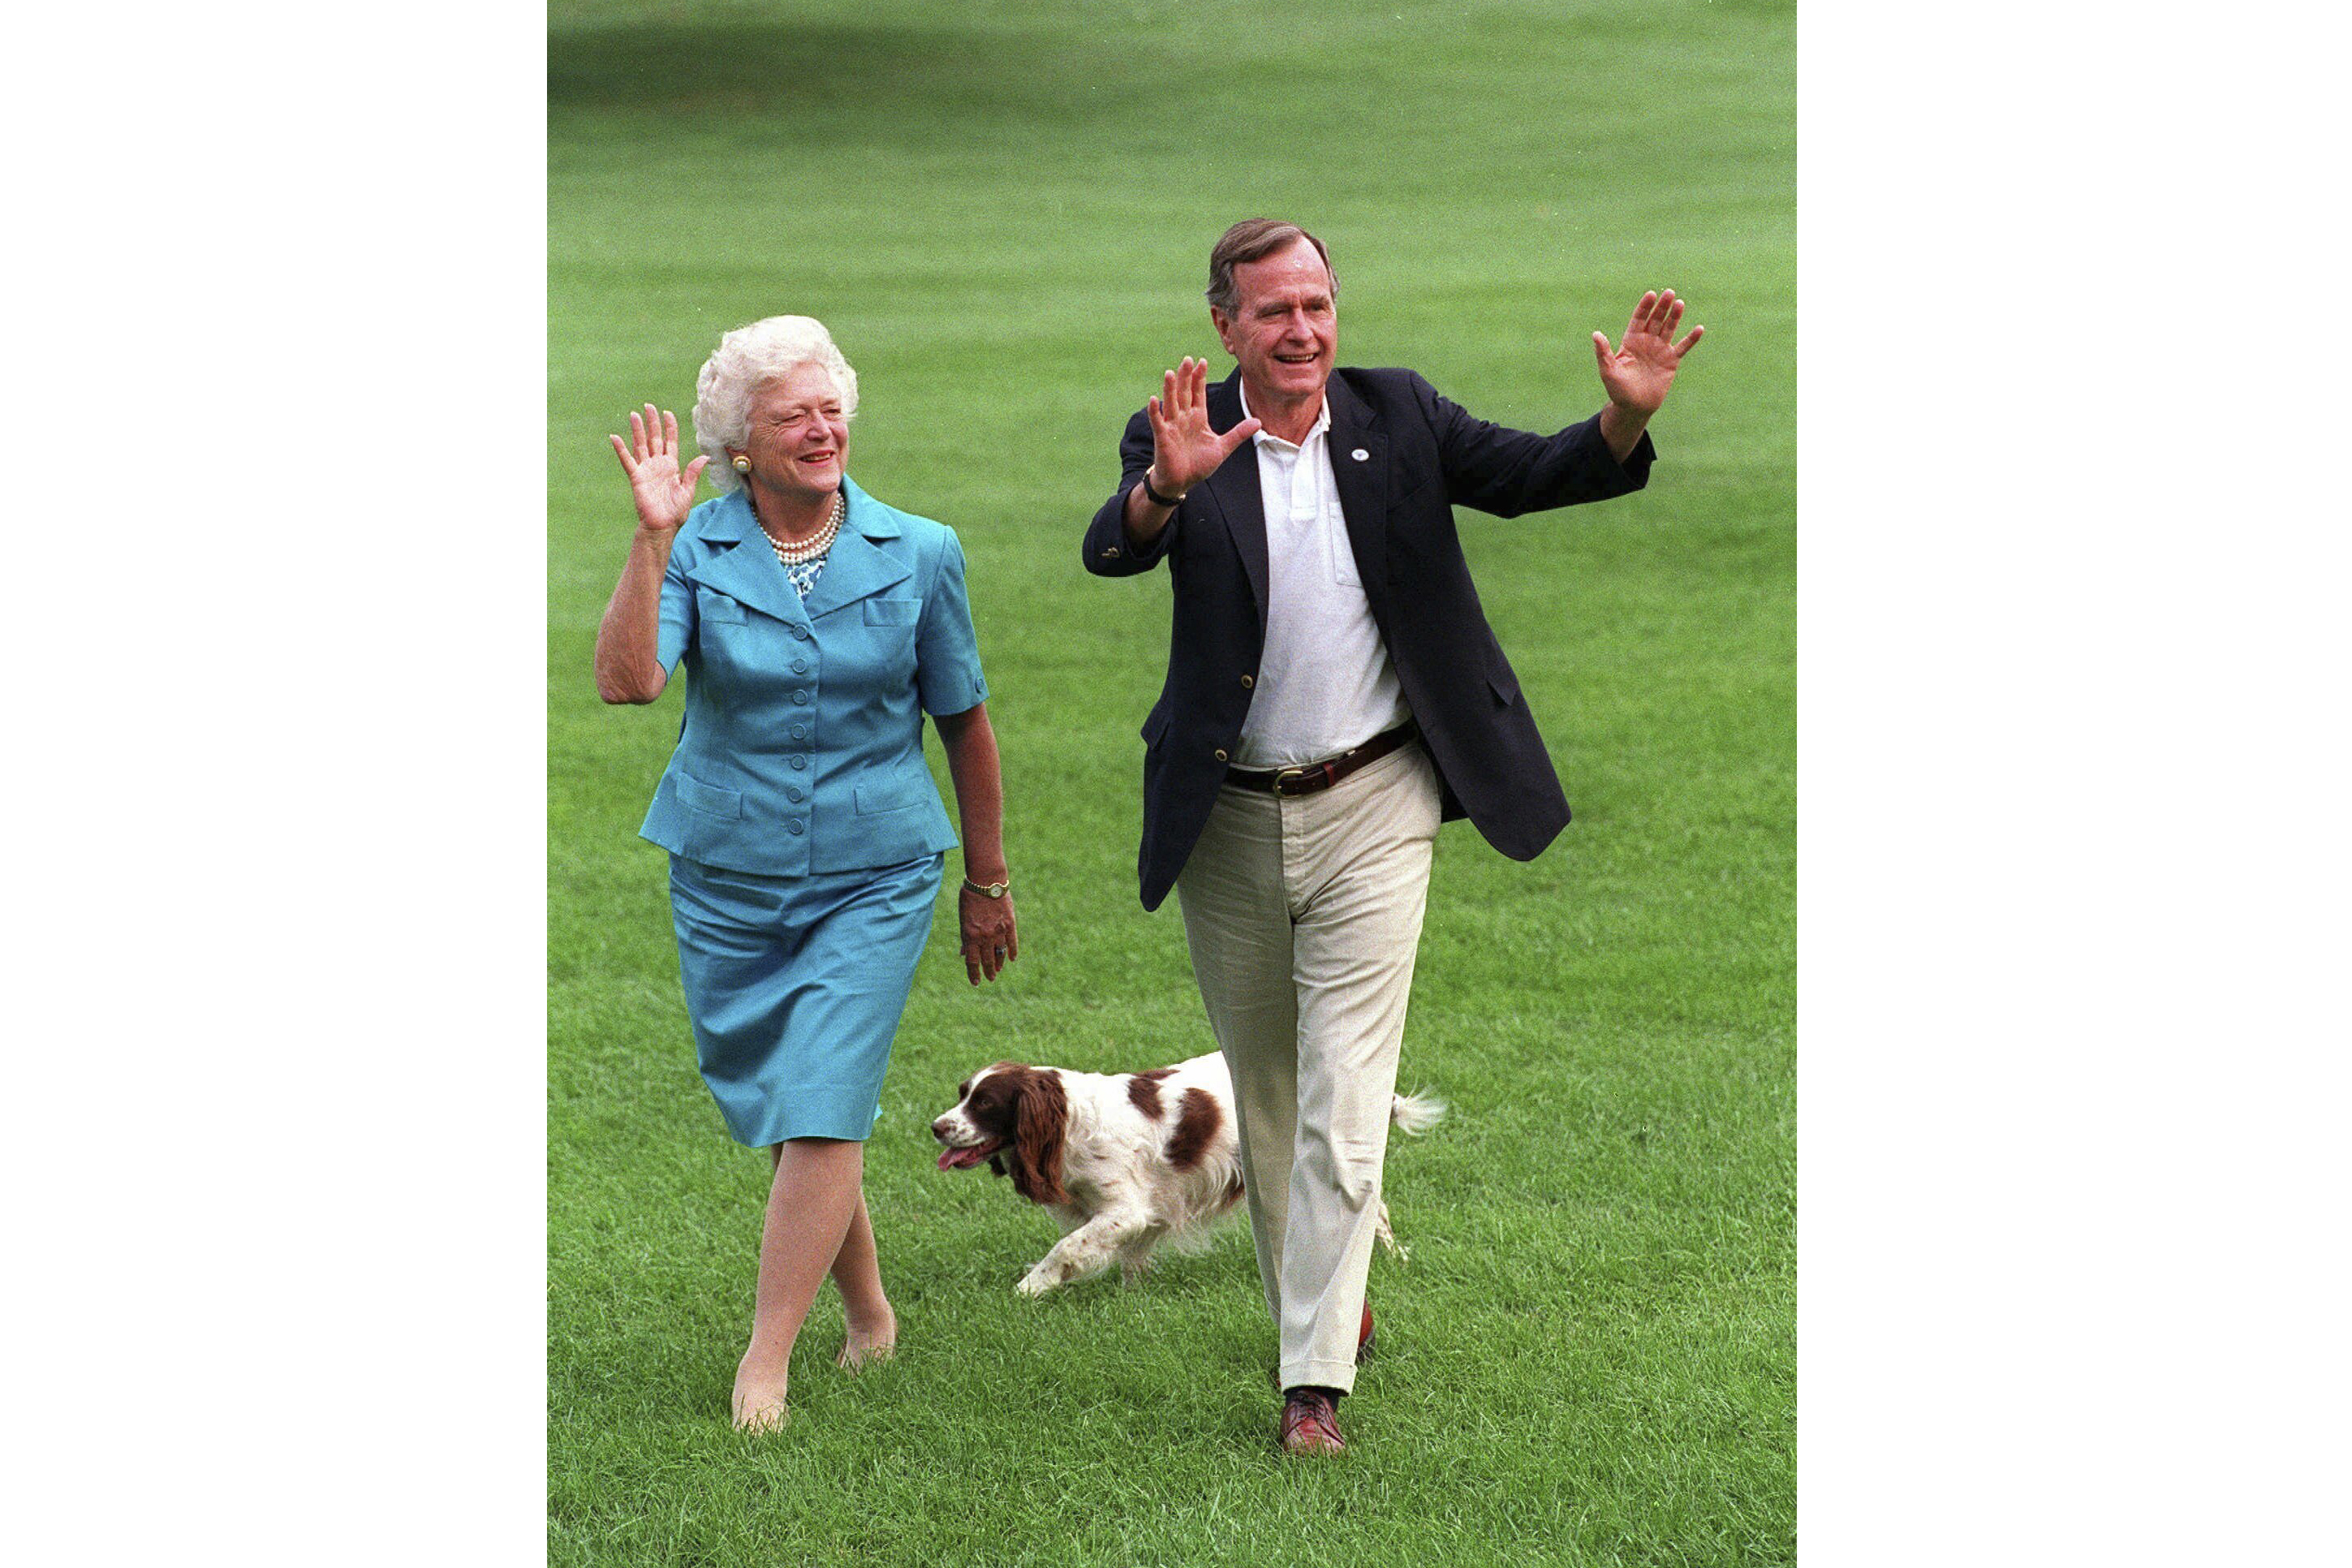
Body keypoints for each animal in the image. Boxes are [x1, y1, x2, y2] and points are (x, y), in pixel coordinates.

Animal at [926, 1053, 1439, 1297]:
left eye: (984, 1103)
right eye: (962, 1093)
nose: (936, 1126)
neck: (1070, 1120)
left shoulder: (1125, 1208)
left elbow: (1067, 1248)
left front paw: (1030, 1287)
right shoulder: (1149, 1207)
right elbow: (1131, 1258)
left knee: (1374, 1212)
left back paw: (1395, 1261)